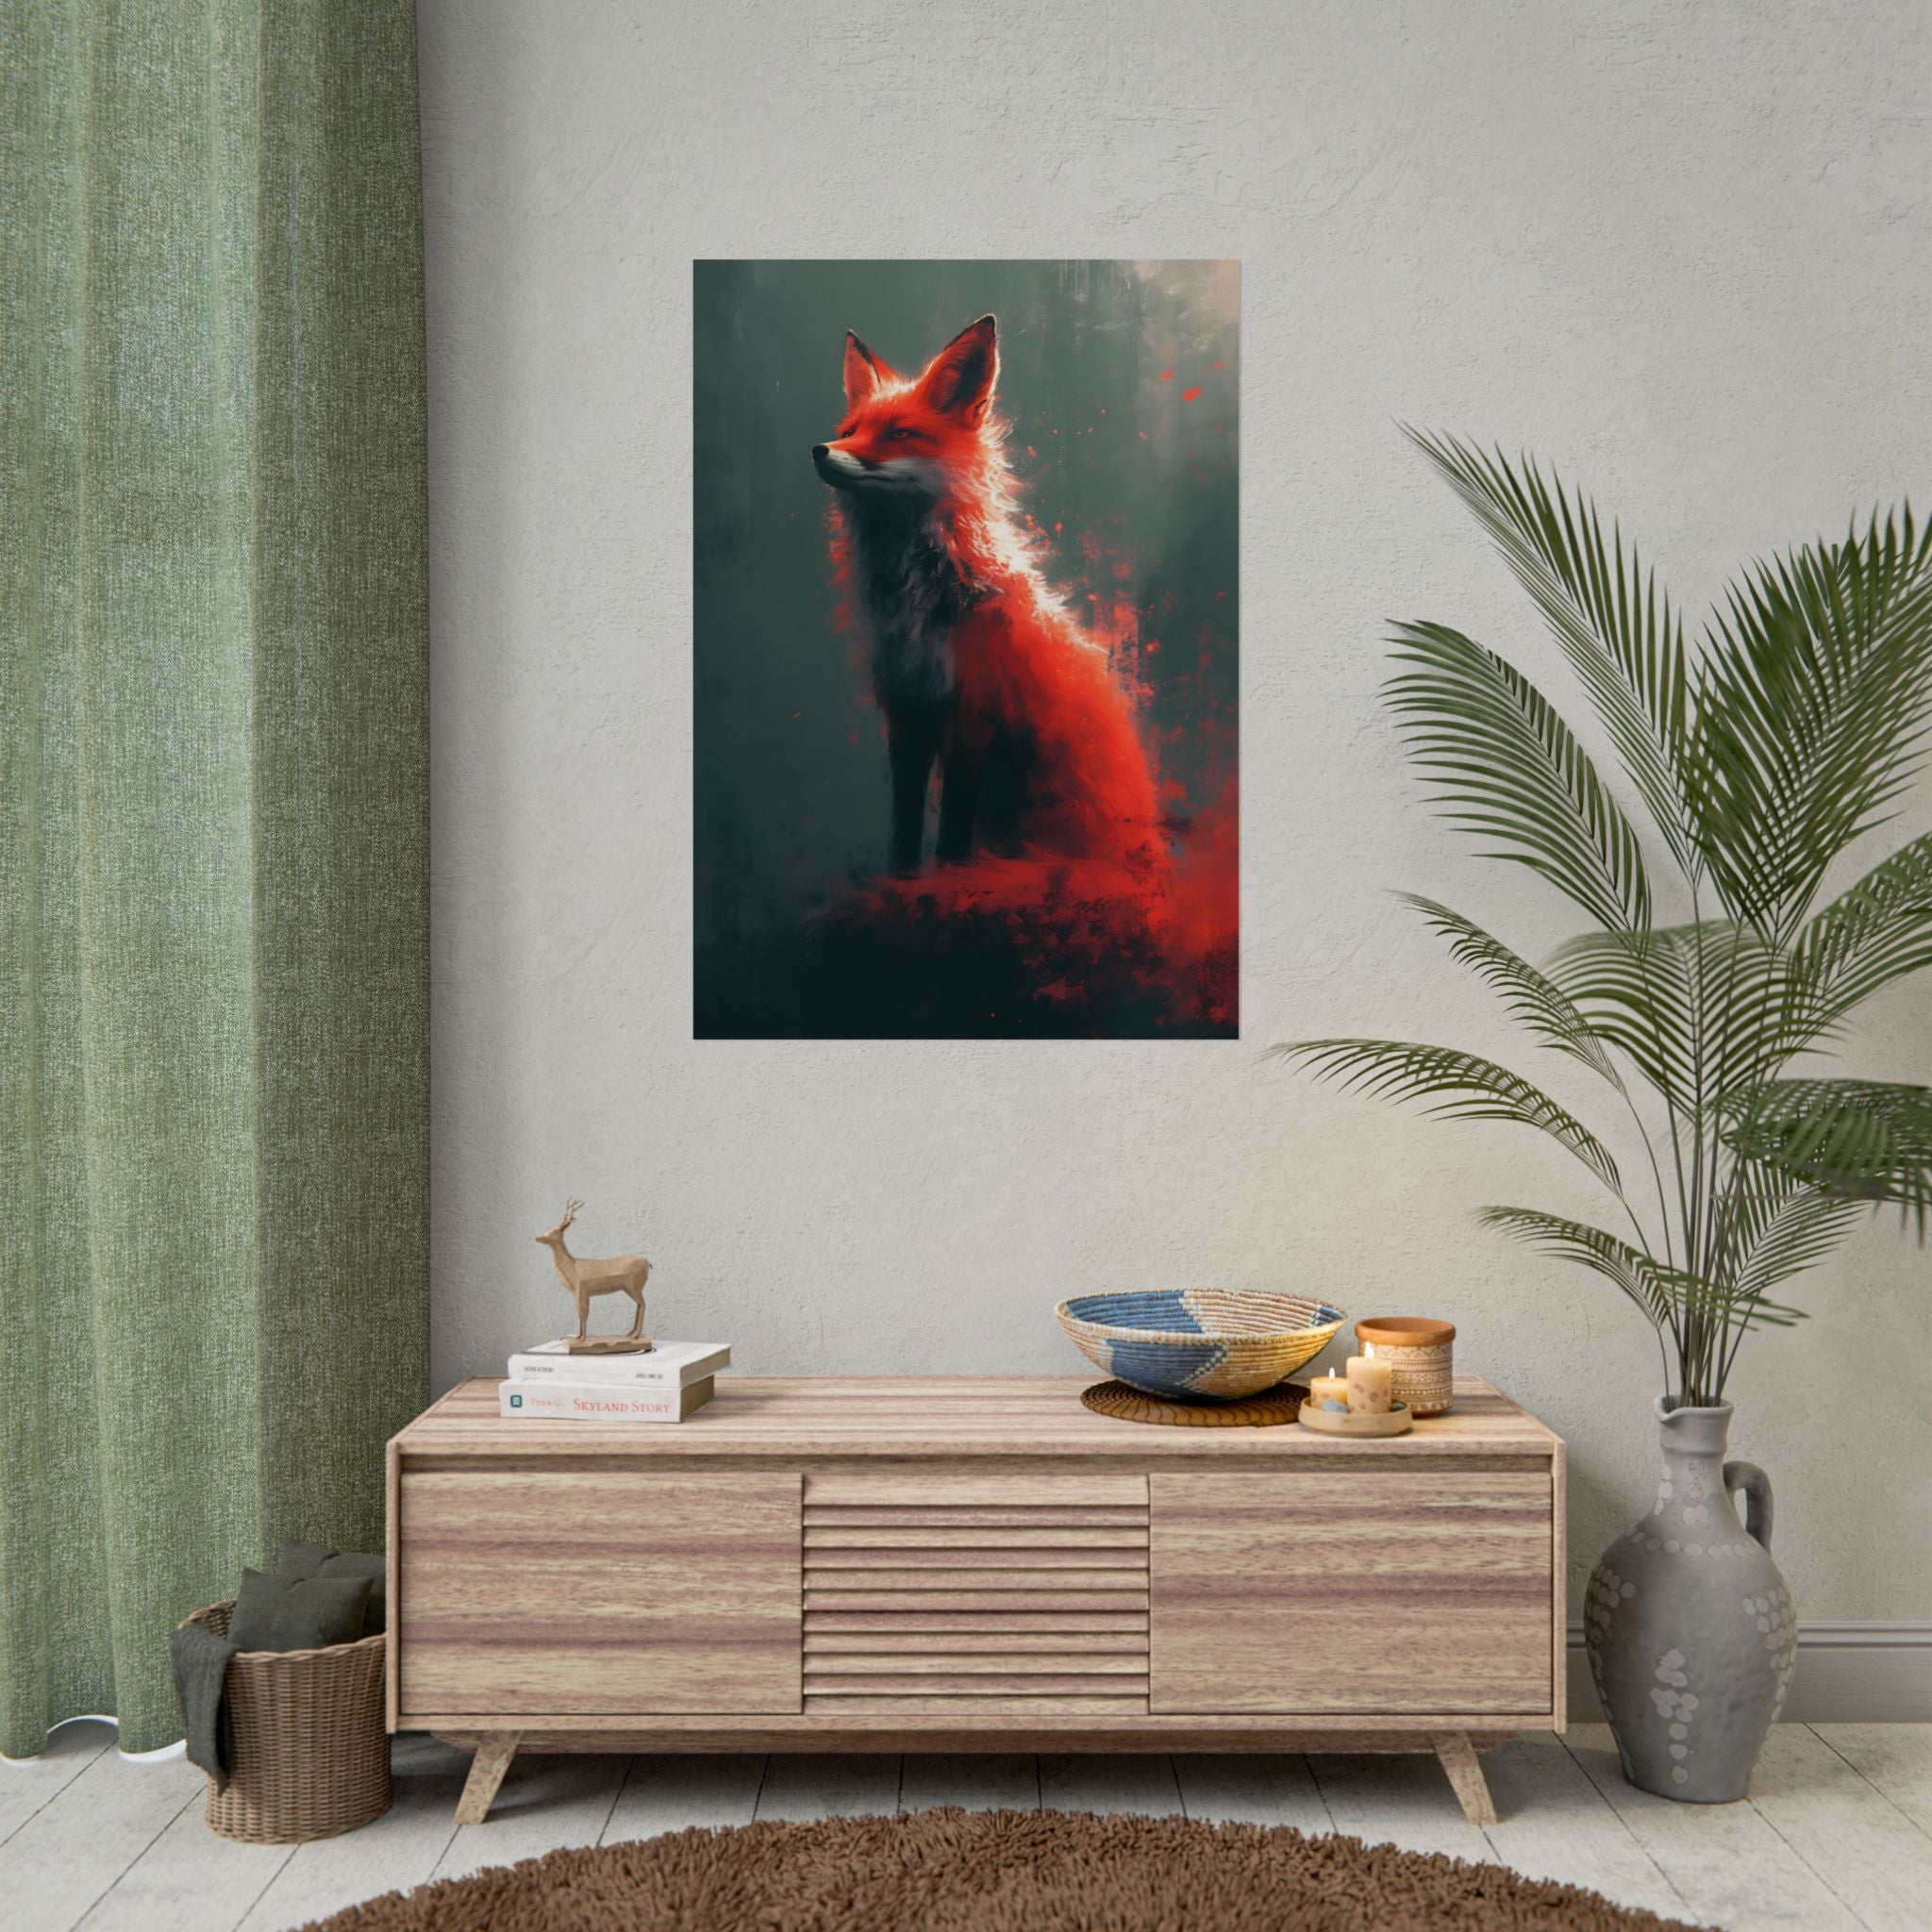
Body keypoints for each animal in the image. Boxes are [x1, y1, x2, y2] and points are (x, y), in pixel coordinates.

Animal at [811, 314, 1163, 883]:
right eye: (849, 433)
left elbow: (954, 826)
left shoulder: (974, 710)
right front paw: (901, 879)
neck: (919, 600)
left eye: (899, 434)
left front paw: (950, 879)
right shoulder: (906, 710)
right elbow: (905, 821)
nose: (820, 450)